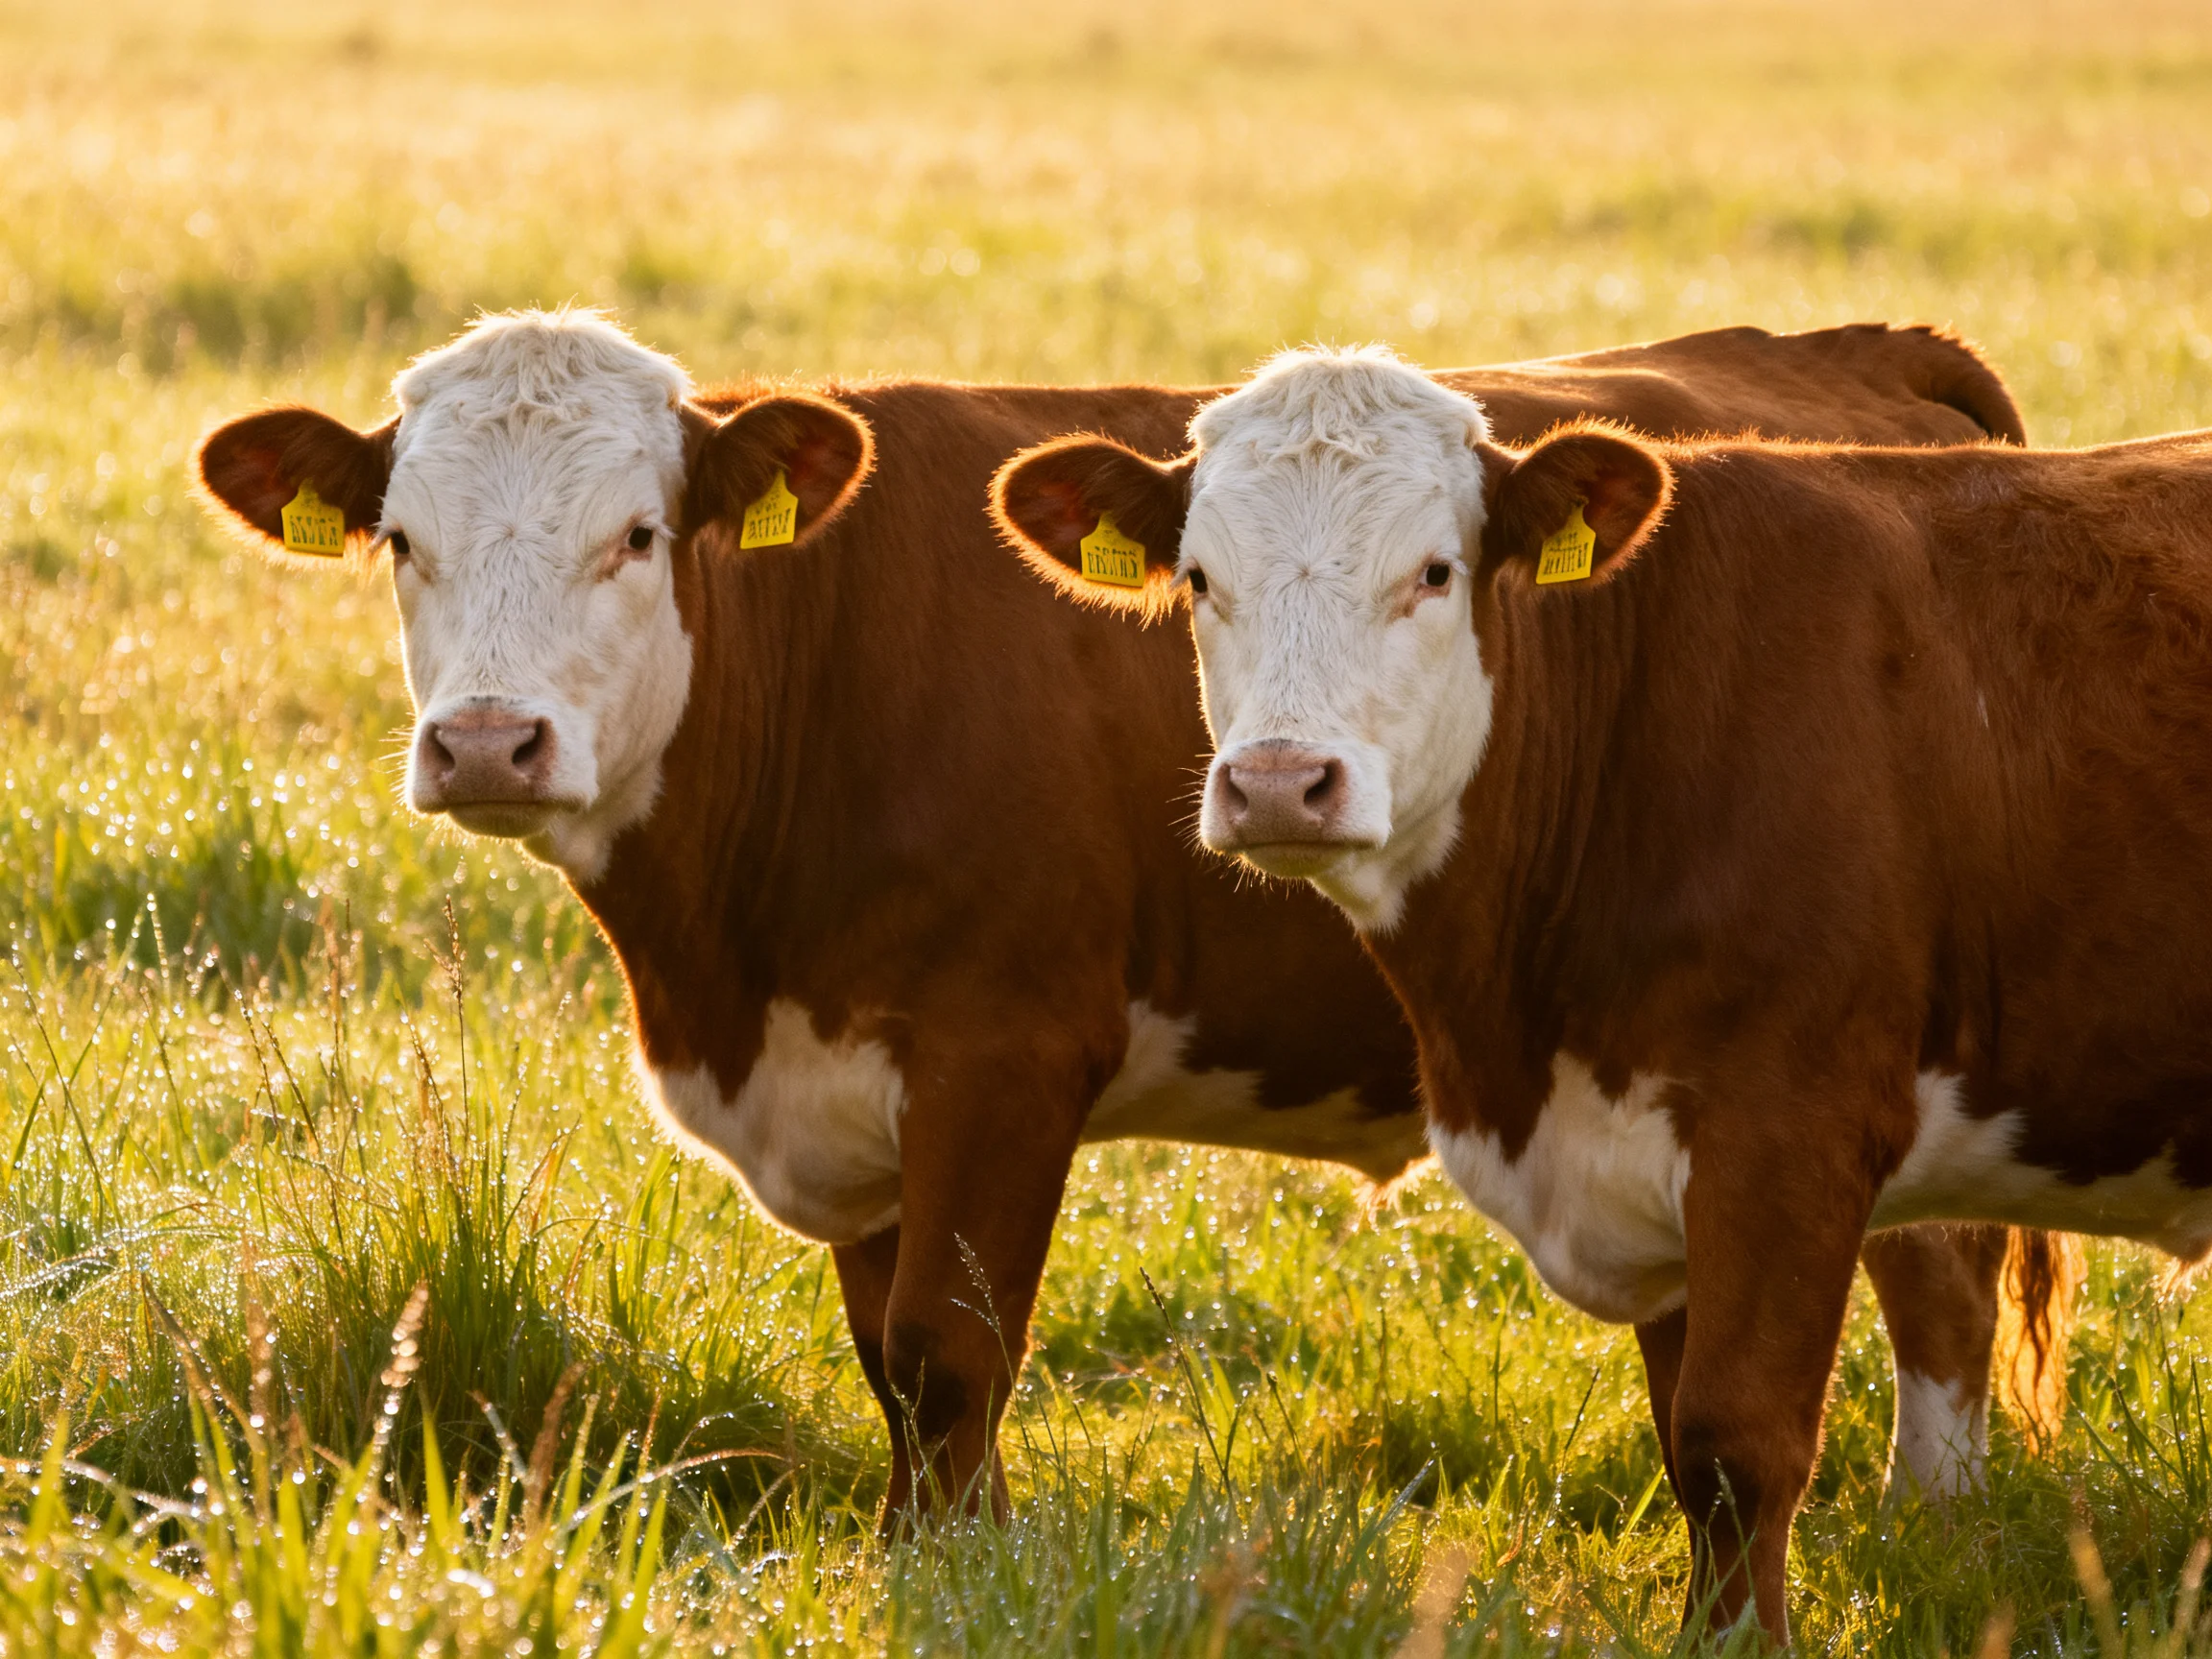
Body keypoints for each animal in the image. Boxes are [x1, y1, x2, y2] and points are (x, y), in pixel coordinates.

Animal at [193, 309, 2069, 1536]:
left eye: (637, 534)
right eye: (402, 541)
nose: (485, 741)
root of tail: (1856, 352)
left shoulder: (1004, 1047)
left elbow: (947, 1351)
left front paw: (949, 1565)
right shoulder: (848, 1084)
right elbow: (888, 1357)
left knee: (1943, 1280)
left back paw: (1927, 1525)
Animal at [990, 345, 2212, 1638]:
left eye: (1435, 572)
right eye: (1201, 578)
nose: (1279, 783)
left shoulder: (1790, 1133)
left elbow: (1741, 1443)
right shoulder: (1649, 1158)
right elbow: (1693, 1458)